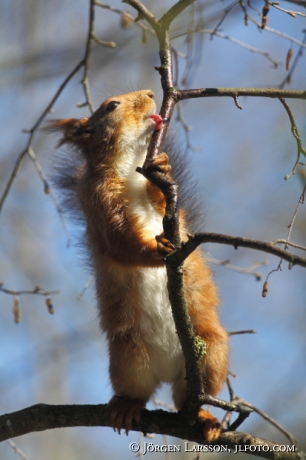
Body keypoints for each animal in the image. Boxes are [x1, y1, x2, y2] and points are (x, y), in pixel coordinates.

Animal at [49, 89, 228, 442]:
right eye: (112, 106)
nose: (149, 92)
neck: (129, 168)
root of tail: (169, 369)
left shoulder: (166, 209)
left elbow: (168, 207)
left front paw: (162, 165)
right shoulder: (98, 203)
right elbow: (120, 243)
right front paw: (156, 250)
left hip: (212, 352)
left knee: (187, 399)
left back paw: (205, 417)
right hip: (128, 358)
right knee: (138, 390)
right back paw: (127, 405)